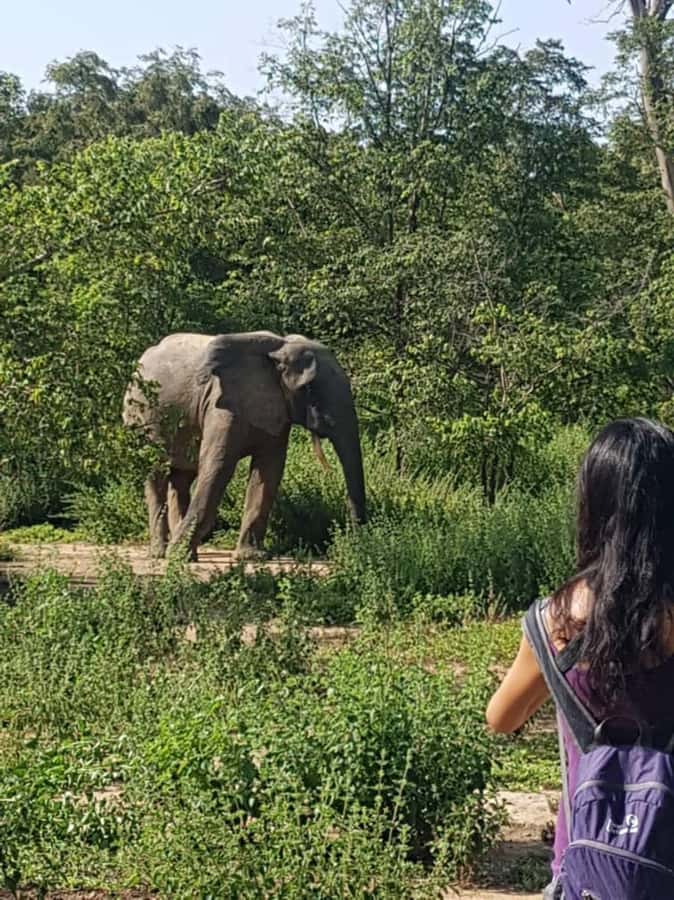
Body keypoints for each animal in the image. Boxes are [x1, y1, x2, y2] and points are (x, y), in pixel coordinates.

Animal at [123, 331, 366, 560]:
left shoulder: (275, 408)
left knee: (182, 477)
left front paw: (252, 557)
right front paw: (177, 556)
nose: (353, 542)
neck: (278, 348)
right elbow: (218, 465)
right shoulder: (223, 403)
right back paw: (162, 553)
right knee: (156, 473)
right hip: (142, 415)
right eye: (308, 388)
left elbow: (269, 471)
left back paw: (187, 554)